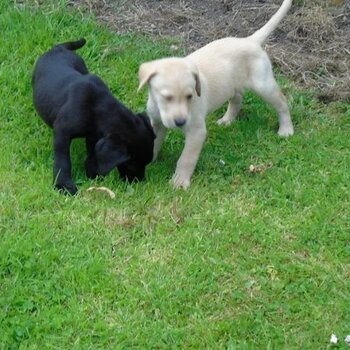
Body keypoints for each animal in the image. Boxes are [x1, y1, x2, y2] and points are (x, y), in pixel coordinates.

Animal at [31, 40, 154, 197]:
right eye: (130, 164)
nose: (139, 182)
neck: (98, 107)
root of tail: (58, 48)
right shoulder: (62, 132)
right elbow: (63, 159)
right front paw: (63, 185)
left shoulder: (94, 135)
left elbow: (93, 154)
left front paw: (92, 173)